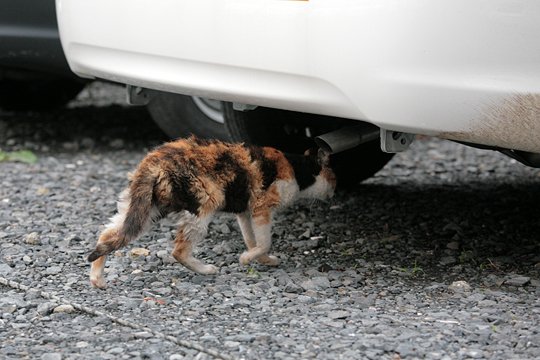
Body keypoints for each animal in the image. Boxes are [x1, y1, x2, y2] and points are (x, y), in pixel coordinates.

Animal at [88, 136, 336, 288]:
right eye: (335, 177)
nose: (335, 190)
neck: (298, 169)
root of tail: (151, 161)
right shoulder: (261, 207)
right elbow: (264, 242)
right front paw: (247, 258)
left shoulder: (245, 212)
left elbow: (251, 239)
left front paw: (263, 260)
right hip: (203, 203)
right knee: (179, 251)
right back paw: (206, 270)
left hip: (145, 209)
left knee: (107, 235)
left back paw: (96, 278)